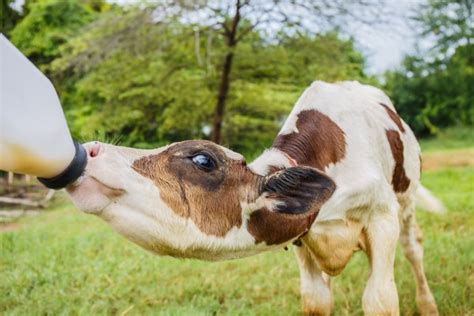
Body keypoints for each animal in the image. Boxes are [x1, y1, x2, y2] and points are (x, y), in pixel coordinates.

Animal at [65, 81, 440, 314]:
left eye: (203, 160)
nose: (91, 149)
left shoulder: (381, 219)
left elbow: (380, 299)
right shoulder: (303, 237)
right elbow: (316, 300)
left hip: (405, 205)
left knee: (414, 248)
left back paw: (428, 305)